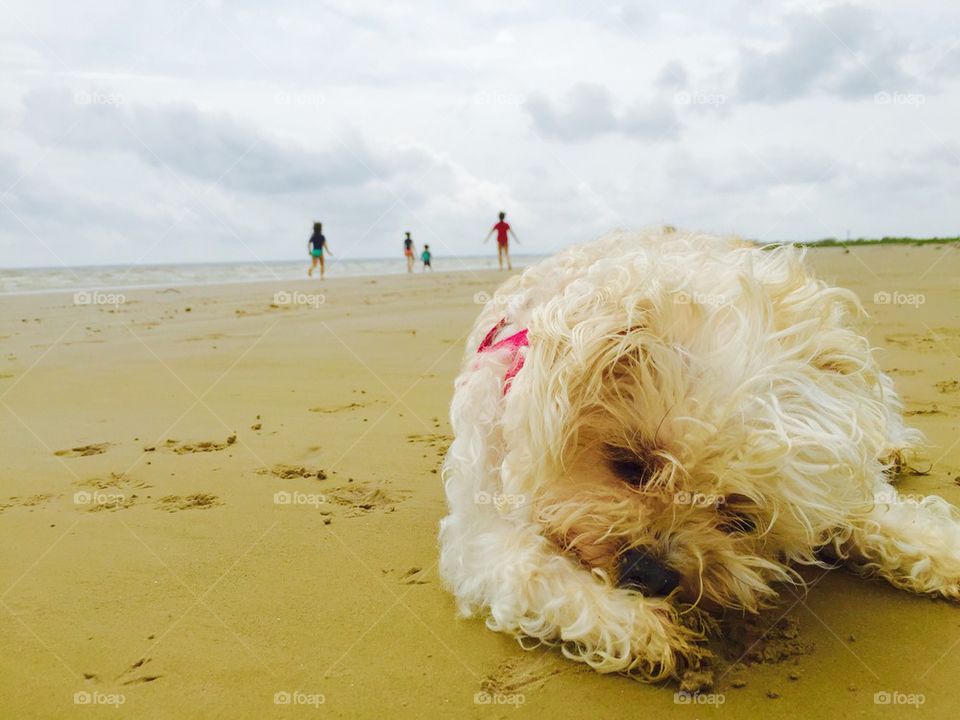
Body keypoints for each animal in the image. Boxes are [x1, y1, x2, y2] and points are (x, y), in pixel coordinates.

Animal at [438, 229, 956, 680]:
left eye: (740, 517)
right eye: (630, 463)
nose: (650, 572)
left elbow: (873, 512)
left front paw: (939, 548)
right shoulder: (480, 529)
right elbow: (531, 569)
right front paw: (640, 627)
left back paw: (892, 447)